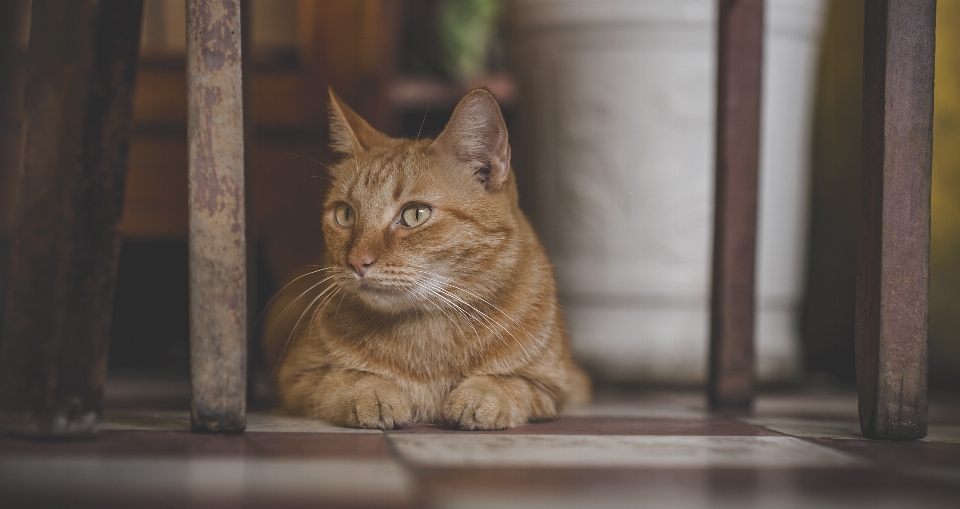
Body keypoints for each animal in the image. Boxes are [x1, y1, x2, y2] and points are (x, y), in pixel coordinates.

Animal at [266, 87, 588, 428]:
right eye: (345, 214)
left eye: (415, 214)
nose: (356, 262)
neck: (427, 335)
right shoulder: (297, 377)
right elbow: (345, 379)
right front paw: (372, 394)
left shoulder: (554, 384)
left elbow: (508, 383)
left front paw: (481, 397)